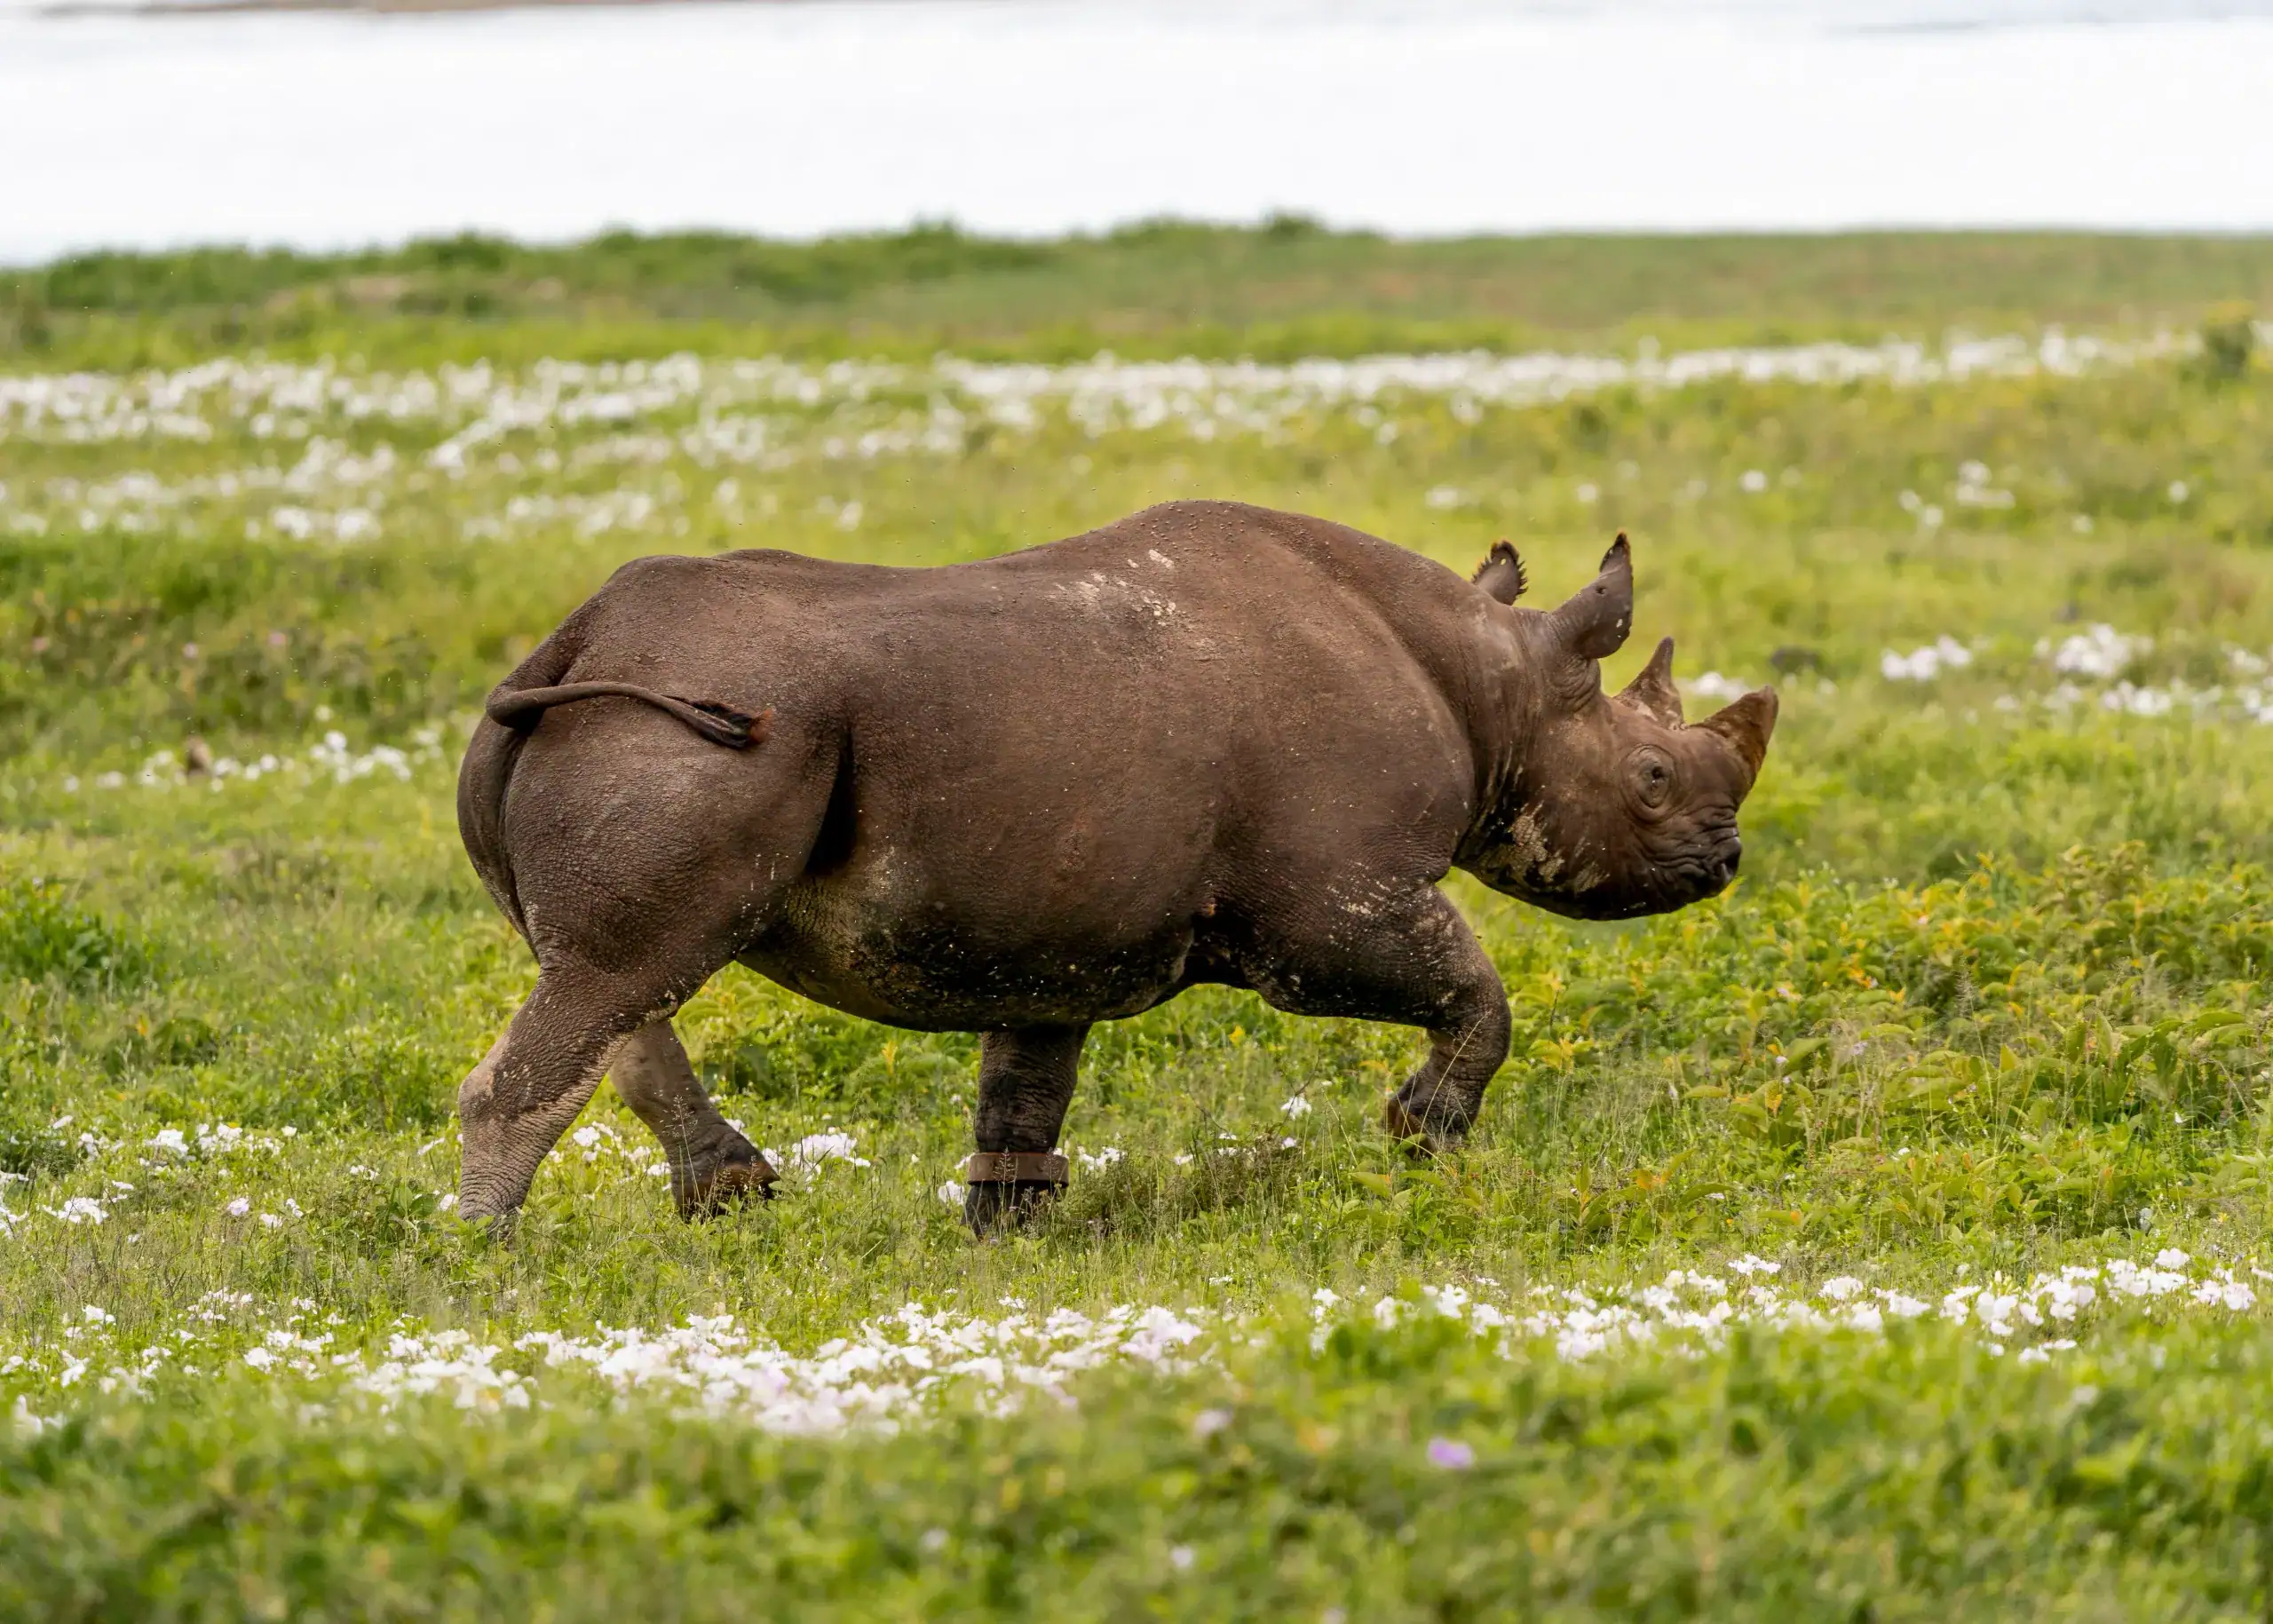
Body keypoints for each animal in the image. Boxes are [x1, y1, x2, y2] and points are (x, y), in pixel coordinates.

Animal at [454, 500, 1776, 1232]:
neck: (1492, 681)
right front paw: (1421, 1139)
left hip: (656, 723)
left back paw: (728, 1199)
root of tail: (571, 638)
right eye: (1652, 778)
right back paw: (488, 1266)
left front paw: (1007, 1234)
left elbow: (1024, 1089)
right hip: (690, 730)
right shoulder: (1328, 906)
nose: (1723, 862)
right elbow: (1476, 993)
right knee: (625, 970)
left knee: (615, 974)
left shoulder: (1050, 921)